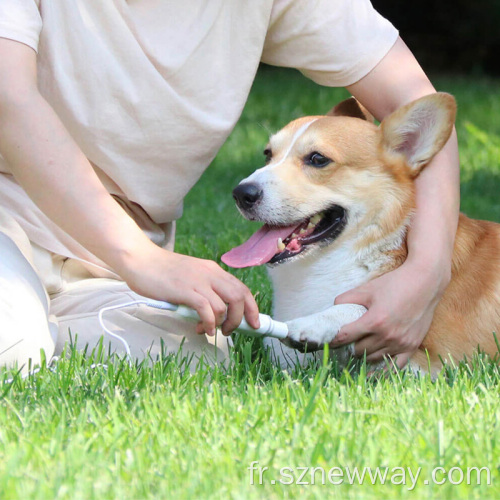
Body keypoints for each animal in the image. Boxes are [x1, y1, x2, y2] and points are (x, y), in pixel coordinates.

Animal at [224, 94, 500, 376]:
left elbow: (360, 309)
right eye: (268, 154)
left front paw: (317, 323)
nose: (241, 194)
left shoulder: (434, 362)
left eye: (317, 159)